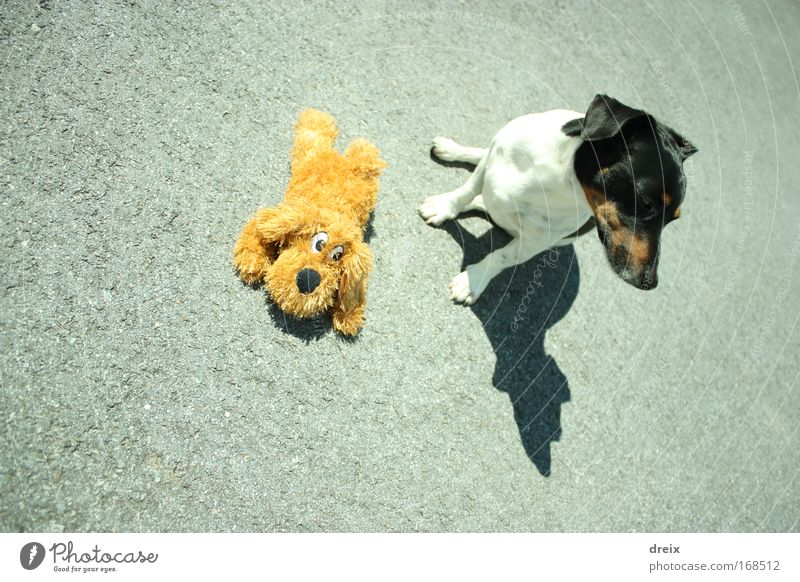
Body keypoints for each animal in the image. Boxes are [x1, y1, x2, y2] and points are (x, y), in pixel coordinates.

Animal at [422, 93, 696, 304]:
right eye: (645, 203)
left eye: (673, 220)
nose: (649, 282)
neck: (559, 171)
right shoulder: (490, 165)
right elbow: (464, 192)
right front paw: (443, 207)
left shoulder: (535, 242)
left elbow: (502, 256)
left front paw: (474, 280)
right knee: (480, 159)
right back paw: (452, 148)